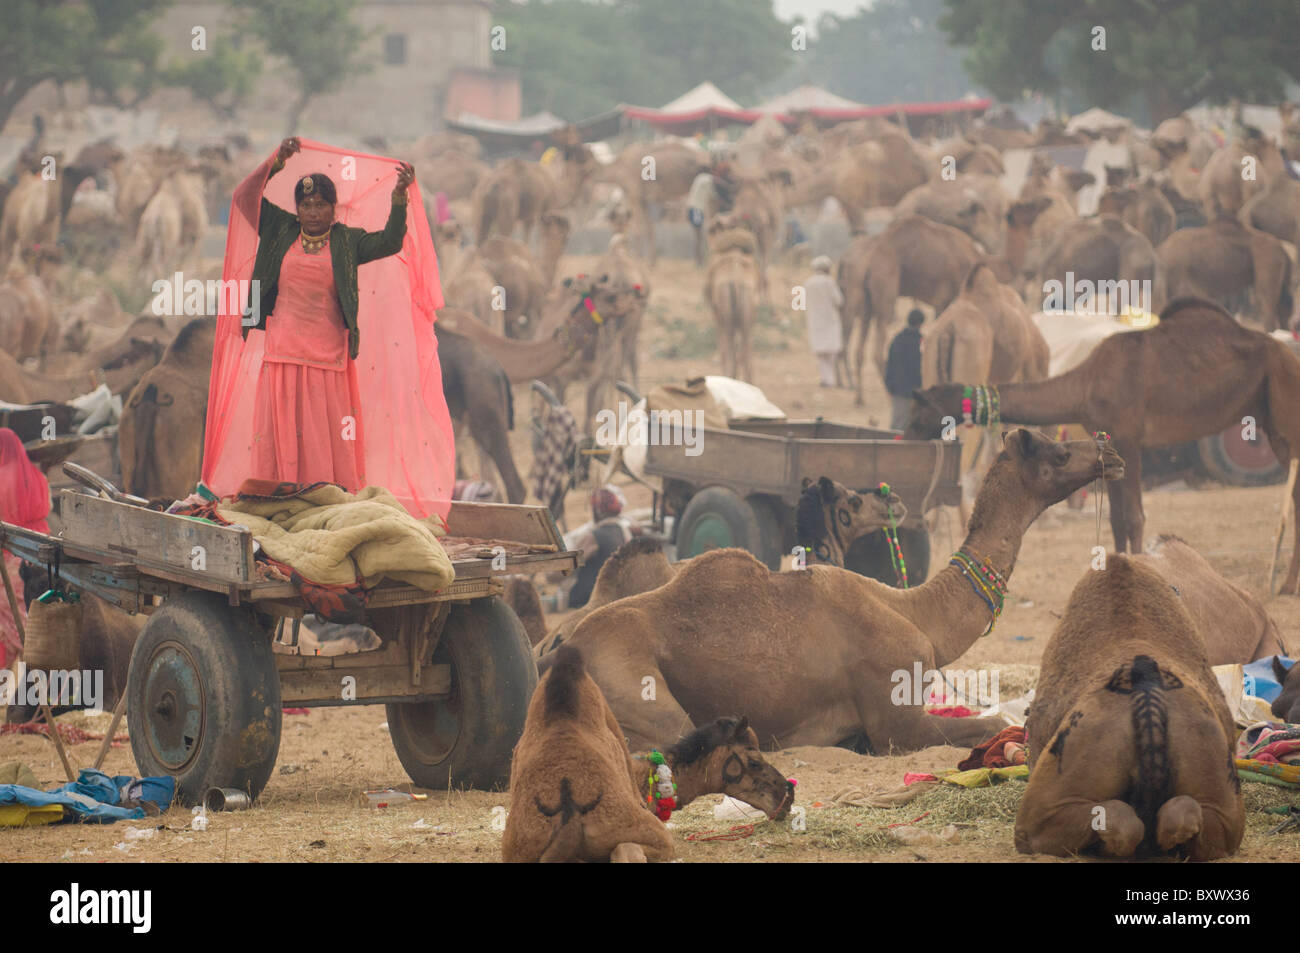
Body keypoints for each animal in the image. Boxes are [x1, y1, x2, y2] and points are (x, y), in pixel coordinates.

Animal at [543, 429, 1123, 748]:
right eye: (1055, 452)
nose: (1109, 451)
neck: (916, 612)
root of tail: (555, 647)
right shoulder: (896, 720)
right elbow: (995, 723)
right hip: (639, 692)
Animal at [837, 213, 977, 403]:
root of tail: (867, 259)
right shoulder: (944, 299)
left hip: (864, 298)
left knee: (859, 346)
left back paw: (859, 398)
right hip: (885, 287)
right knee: (877, 346)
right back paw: (888, 394)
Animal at [904, 297, 1300, 595]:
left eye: (919, 412)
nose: (905, 434)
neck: (1084, 385)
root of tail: (1288, 352)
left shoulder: (1131, 437)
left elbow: (1135, 517)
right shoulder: (1111, 444)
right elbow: (1116, 520)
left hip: (1283, 404)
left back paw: (1285, 585)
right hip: (1269, 420)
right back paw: (1285, 585)